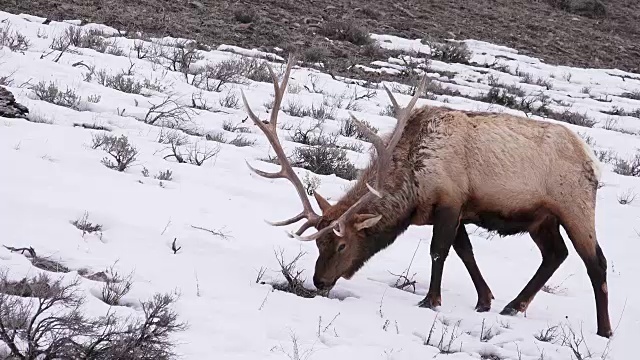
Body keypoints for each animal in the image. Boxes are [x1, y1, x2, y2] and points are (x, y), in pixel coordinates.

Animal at [242, 55, 612, 338]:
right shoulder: (455, 208)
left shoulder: (450, 200)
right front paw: (485, 300)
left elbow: (439, 251)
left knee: (596, 261)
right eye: (319, 243)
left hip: (575, 205)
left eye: (343, 244)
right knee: (556, 254)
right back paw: (513, 305)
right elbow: (465, 252)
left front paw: (431, 300)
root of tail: (593, 161)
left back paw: (604, 329)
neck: (412, 186)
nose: (319, 281)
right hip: (541, 218)